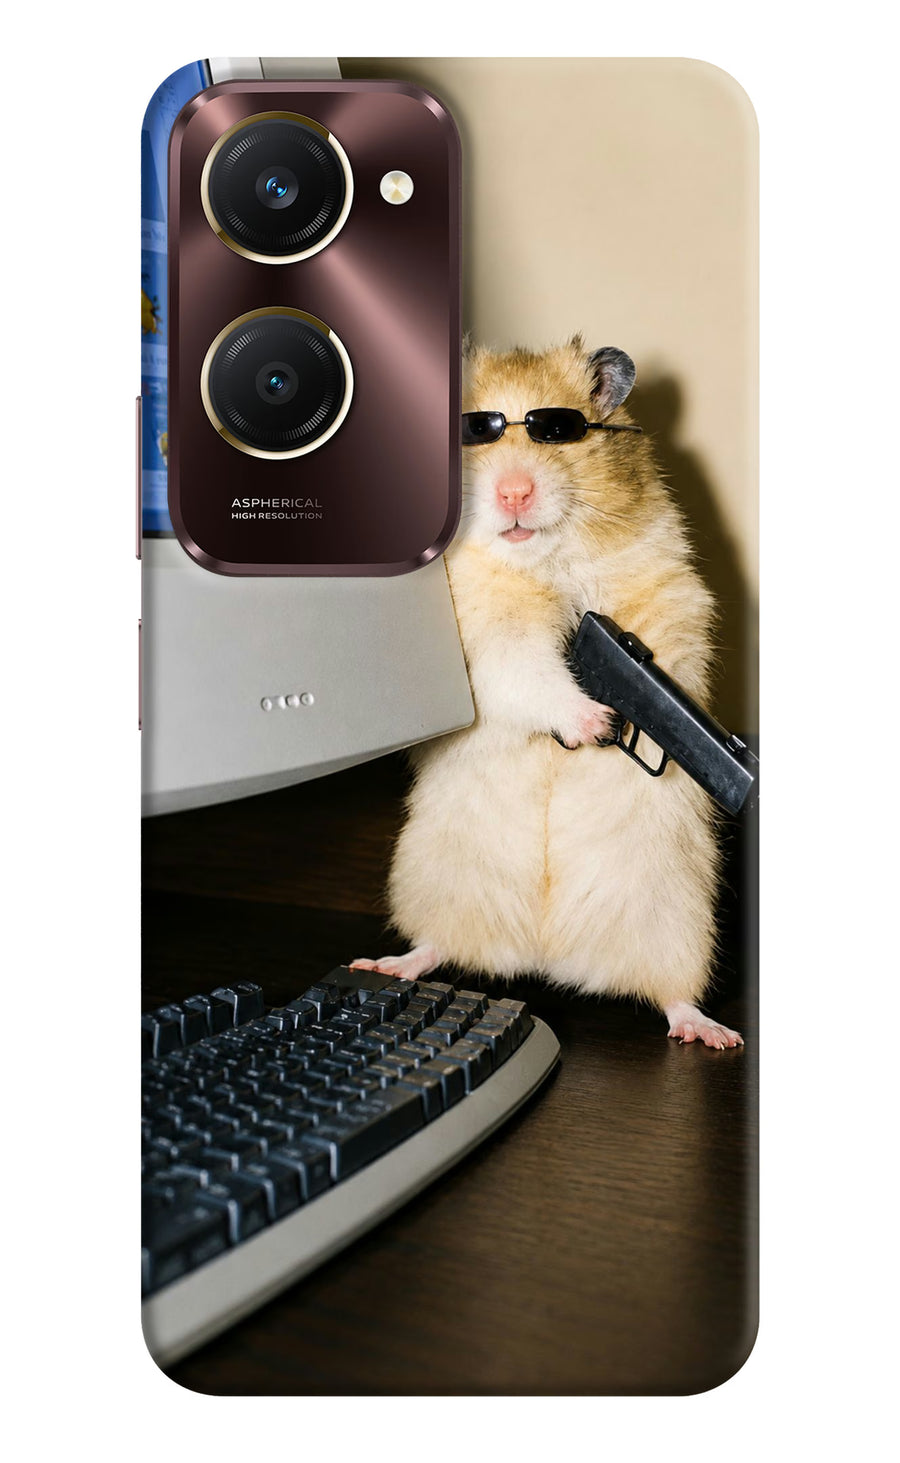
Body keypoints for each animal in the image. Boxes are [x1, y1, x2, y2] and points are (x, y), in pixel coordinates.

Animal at [352, 337, 742, 1048]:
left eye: (559, 431)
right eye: (471, 432)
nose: (513, 492)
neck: (543, 561)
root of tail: (546, 955)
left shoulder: (669, 592)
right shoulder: (486, 640)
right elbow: (529, 672)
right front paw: (595, 723)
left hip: (676, 918)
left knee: (672, 993)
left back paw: (713, 1033)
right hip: (435, 879)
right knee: (437, 945)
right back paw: (386, 964)